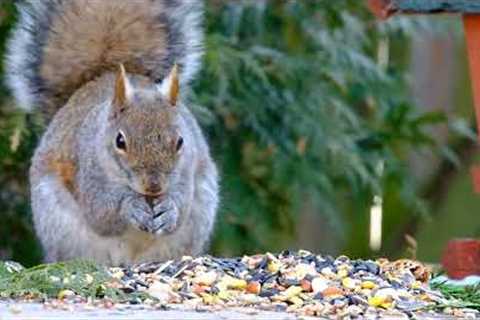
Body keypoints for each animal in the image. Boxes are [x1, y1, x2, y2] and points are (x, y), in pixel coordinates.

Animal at [5, 0, 219, 264]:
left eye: (180, 141)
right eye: (120, 141)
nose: (154, 186)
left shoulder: (186, 169)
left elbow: (182, 202)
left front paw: (169, 209)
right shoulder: (87, 171)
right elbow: (101, 213)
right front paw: (130, 207)